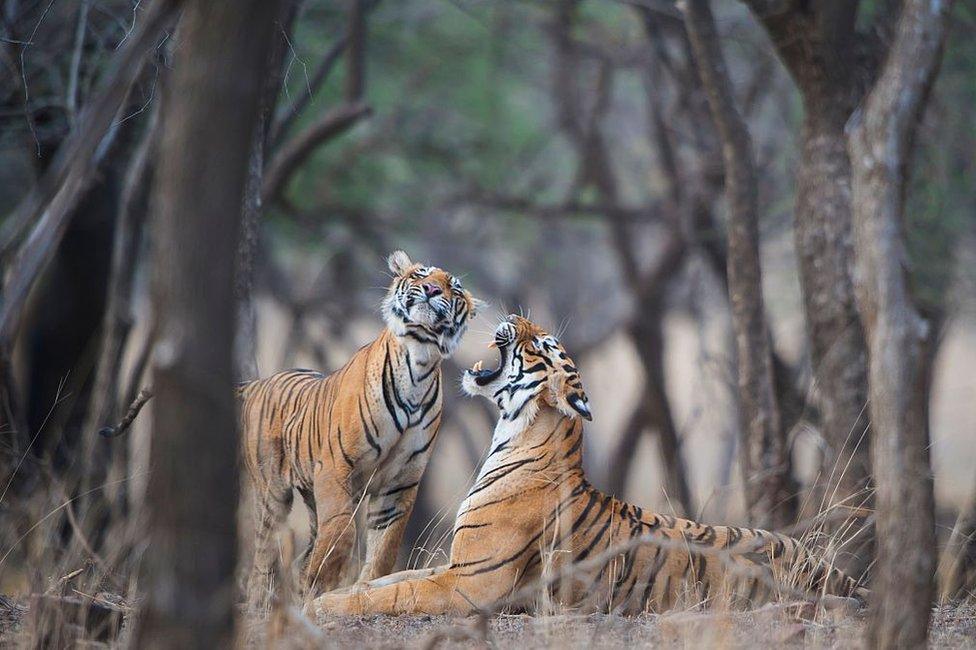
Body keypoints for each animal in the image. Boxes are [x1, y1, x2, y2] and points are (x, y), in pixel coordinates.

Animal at [240, 249, 476, 604]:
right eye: (421, 274)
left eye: (454, 288)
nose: (433, 290)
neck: (419, 359)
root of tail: (258, 384)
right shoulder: (336, 467)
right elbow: (342, 531)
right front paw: (322, 582)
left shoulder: (399, 482)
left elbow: (384, 547)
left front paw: (360, 590)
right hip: (273, 494)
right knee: (263, 556)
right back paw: (261, 602)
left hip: (310, 495)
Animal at [312, 316, 860, 616]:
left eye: (539, 345)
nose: (516, 315)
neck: (512, 436)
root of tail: (825, 570)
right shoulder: (454, 566)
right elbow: (390, 580)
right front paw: (339, 590)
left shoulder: (470, 583)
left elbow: (395, 595)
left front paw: (322, 605)